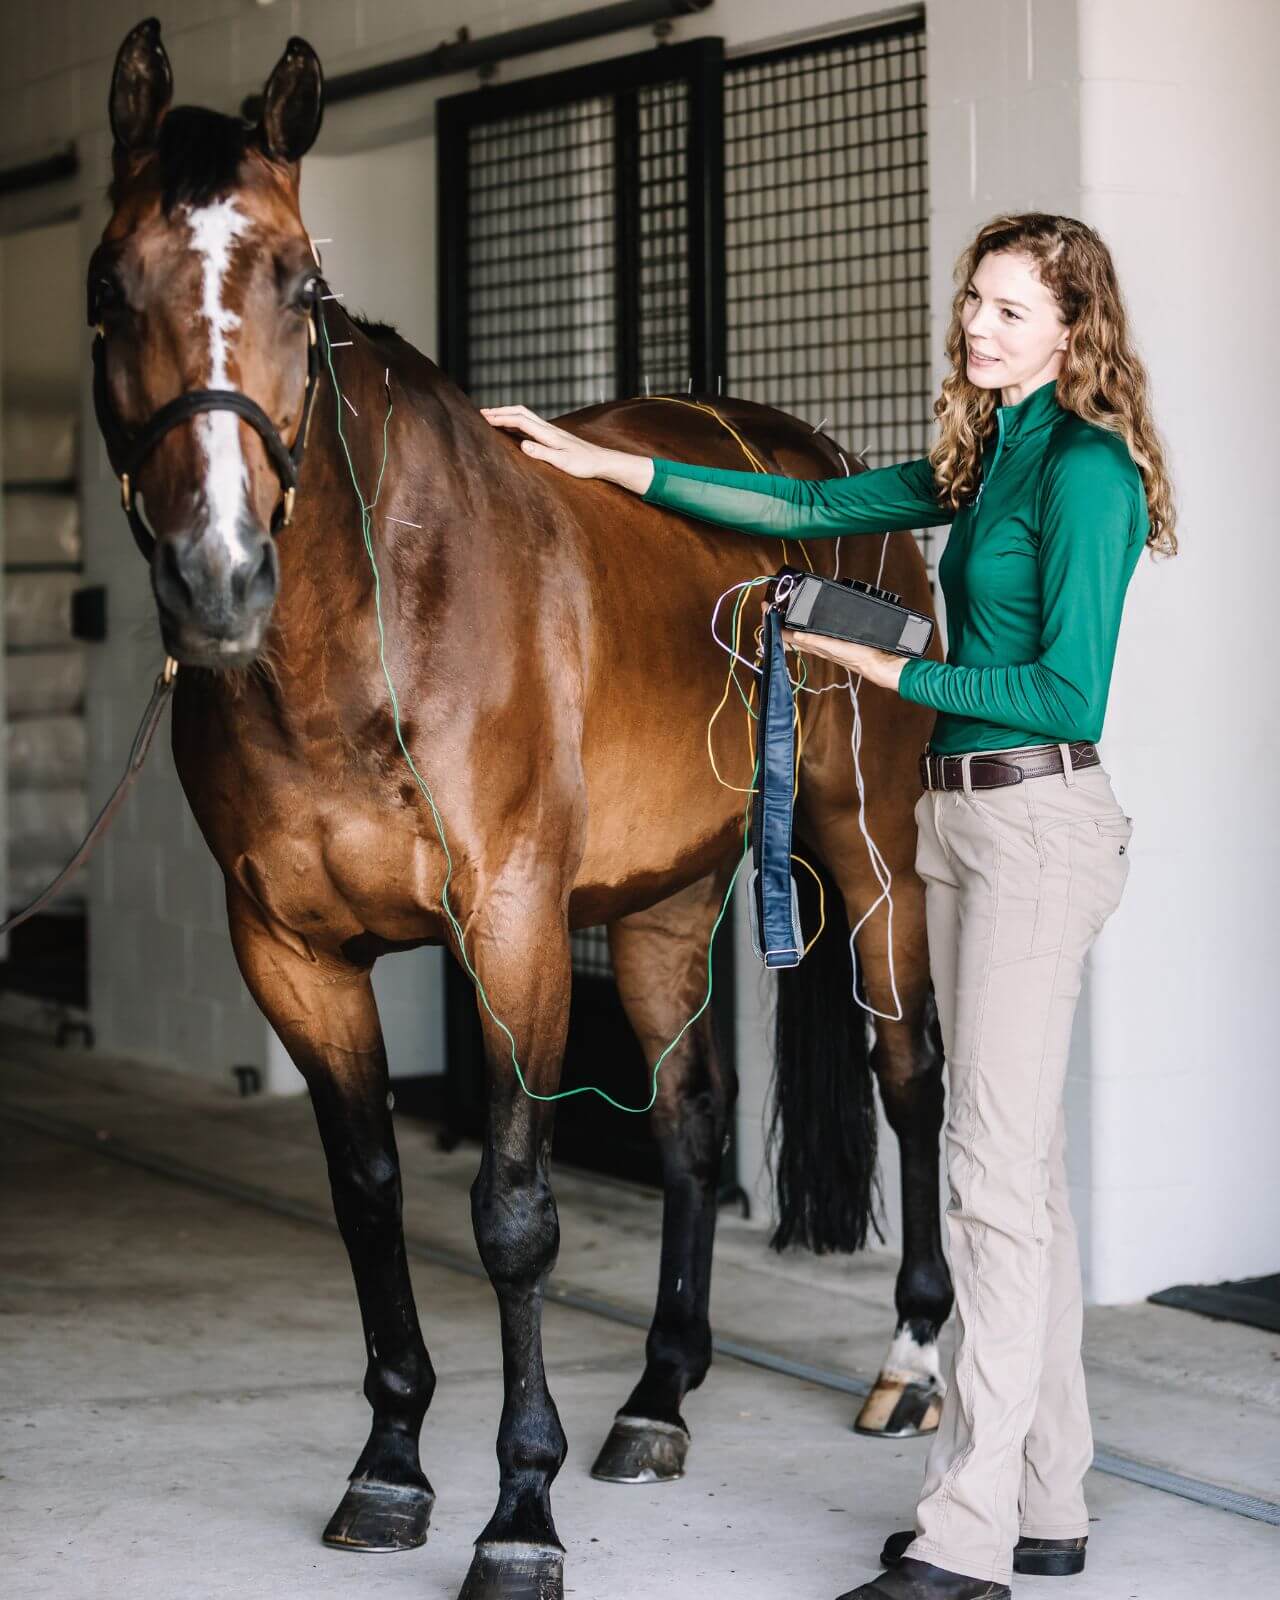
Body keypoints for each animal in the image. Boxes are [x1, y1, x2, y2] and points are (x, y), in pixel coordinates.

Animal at [95, 21, 953, 1600]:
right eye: (107, 286)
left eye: (297, 282)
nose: (219, 577)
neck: (372, 628)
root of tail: (810, 470)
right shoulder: (290, 956)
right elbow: (370, 1192)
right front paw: (388, 1466)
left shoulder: (511, 932)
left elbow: (511, 1214)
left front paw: (518, 1513)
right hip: (670, 898)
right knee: (691, 1122)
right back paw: (660, 1393)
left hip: (869, 853)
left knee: (911, 1075)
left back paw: (911, 1364)